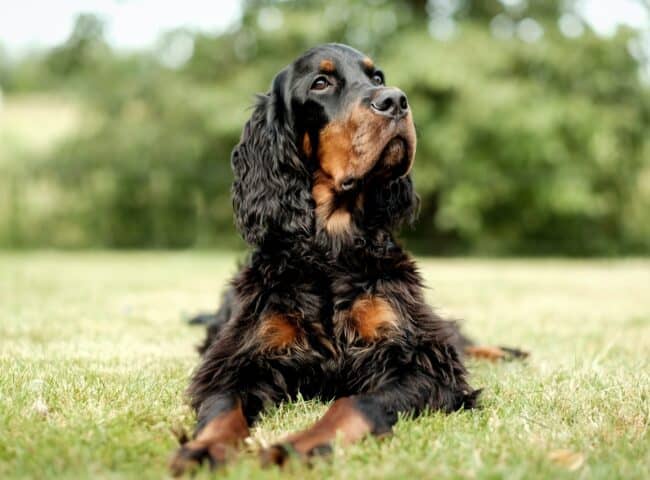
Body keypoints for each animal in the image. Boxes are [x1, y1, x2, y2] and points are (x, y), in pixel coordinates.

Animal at [170, 42, 524, 476]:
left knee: (455, 335)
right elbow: (224, 408)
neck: (330, 251)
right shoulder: (238, 357)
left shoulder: (419, 357)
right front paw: (204, 449)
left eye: (377, 77)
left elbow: (354, 403)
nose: (396, 101)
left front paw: (299, 446)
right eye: (321, 83)